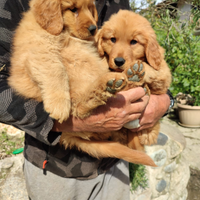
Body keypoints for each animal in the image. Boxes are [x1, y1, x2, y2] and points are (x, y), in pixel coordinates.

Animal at [96, 9, 171, 150]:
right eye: (113, 39)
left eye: (134, 42)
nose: (119, 61)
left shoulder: (163, 78)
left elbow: (152, 70)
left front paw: (136, 69)